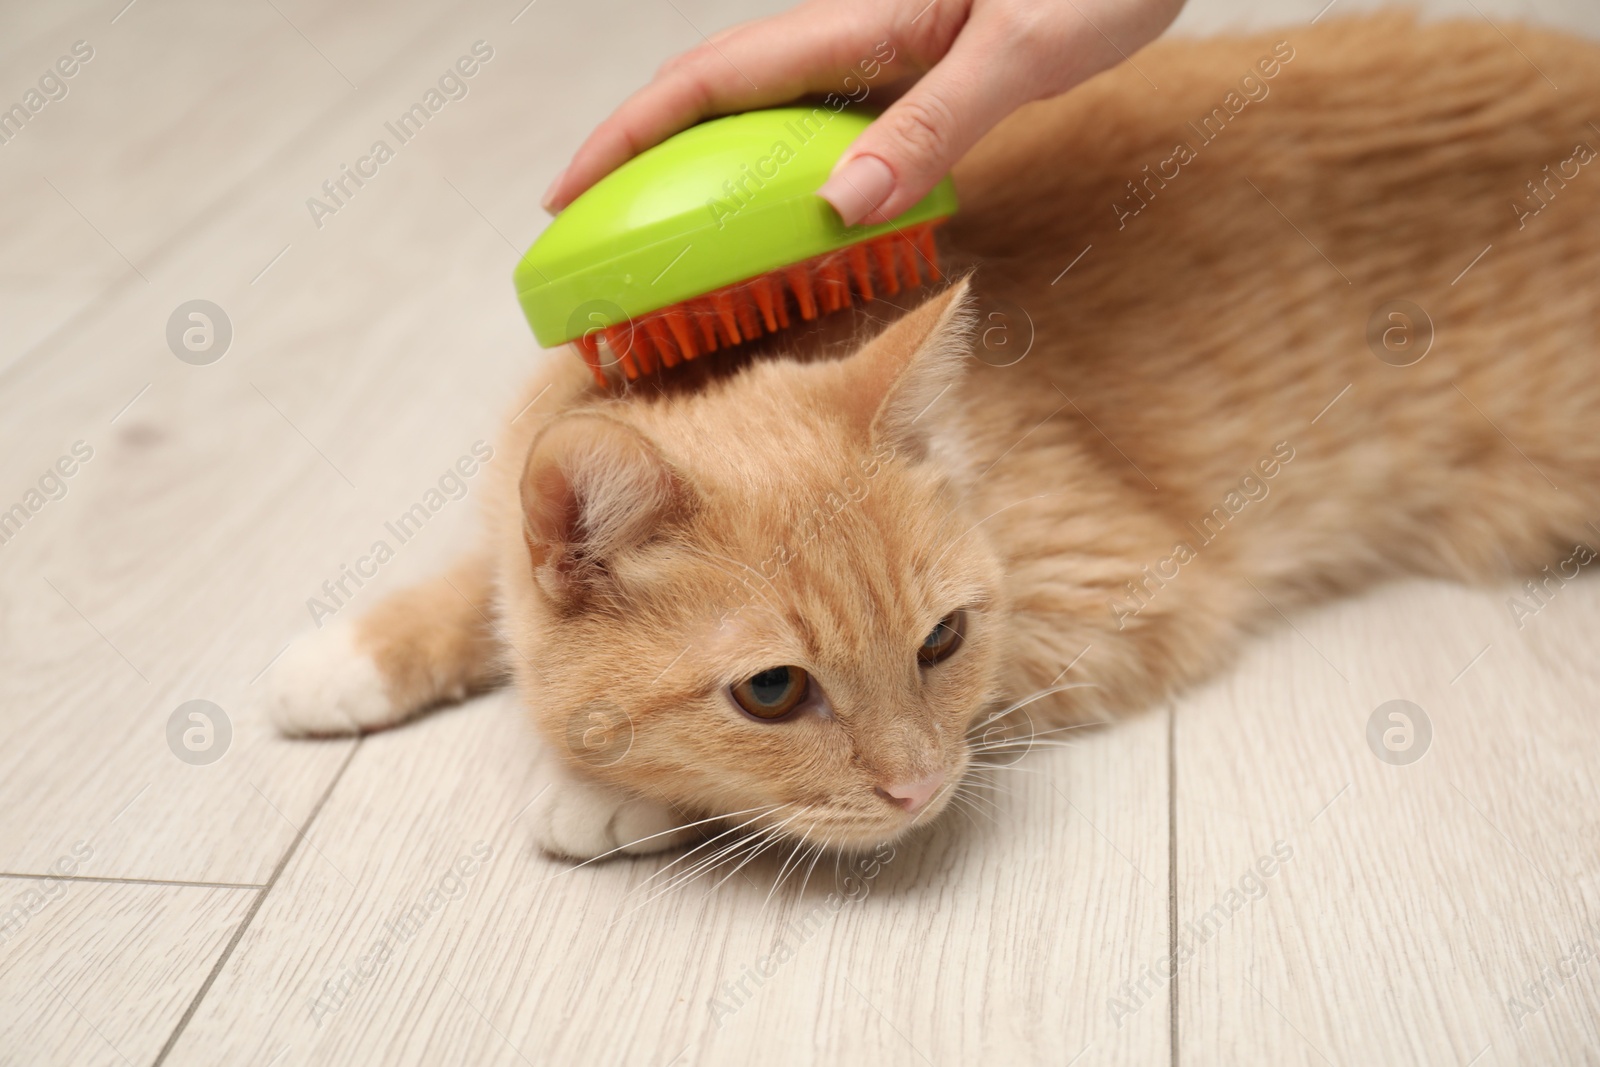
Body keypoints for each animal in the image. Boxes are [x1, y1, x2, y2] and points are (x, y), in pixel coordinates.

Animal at [268, 16, 1593, 863]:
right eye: (771, 690)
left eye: (944, 639)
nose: (914, 790)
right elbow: (483, 587)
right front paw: (352, 652)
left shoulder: (1117, 594)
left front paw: (607, 798)